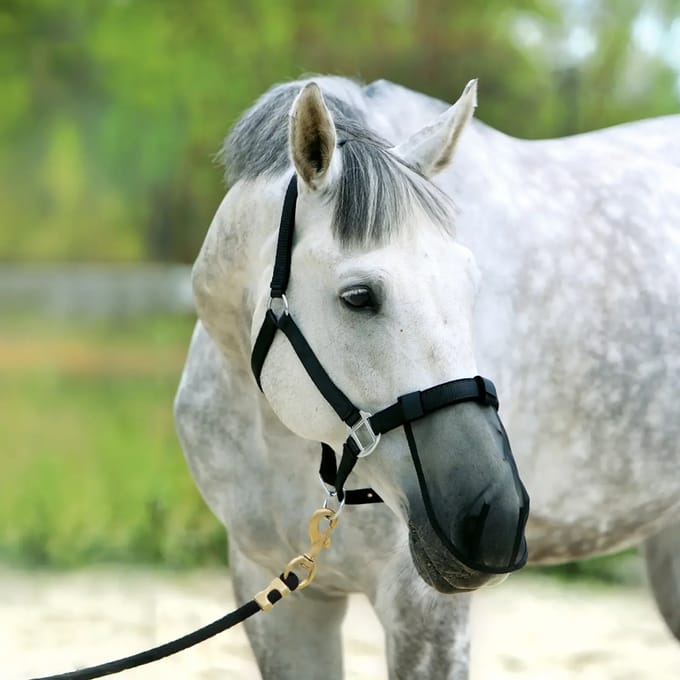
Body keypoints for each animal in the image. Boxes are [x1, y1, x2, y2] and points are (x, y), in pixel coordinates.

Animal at [174, 75, 680, 679]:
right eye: (358, 296)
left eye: (471, 284)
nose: (494, 517)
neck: (278, 436)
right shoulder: (277, 593)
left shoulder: (422, 607)